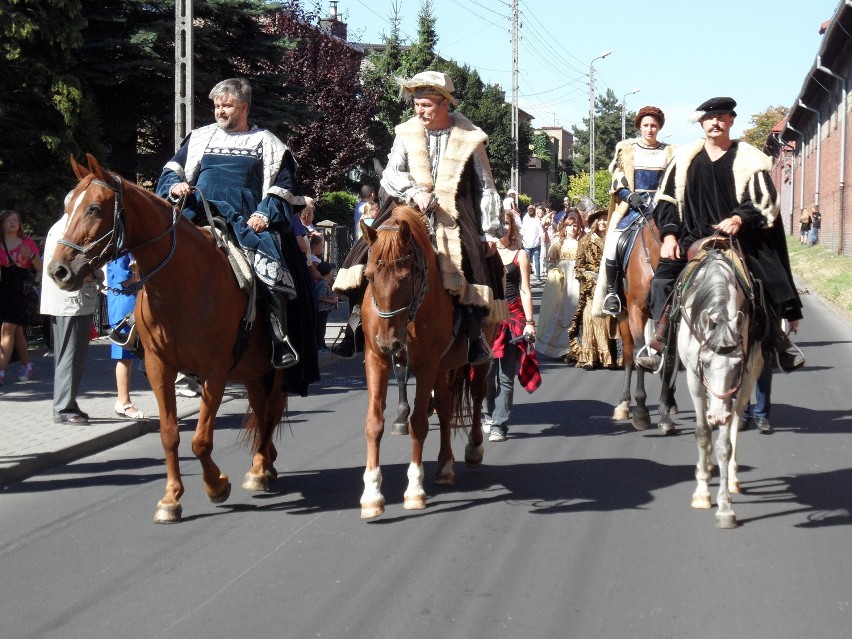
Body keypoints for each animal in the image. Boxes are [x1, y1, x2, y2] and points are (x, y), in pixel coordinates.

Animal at [50, 152, 286, 524]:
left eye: (94, 208)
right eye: (67, 204)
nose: (58, 270)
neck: (181, 283)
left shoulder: (214, 372)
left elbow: (201, 440)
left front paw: (216, 486)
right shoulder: (159, 366)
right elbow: (170, 434)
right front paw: (171, 499)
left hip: (274, 369)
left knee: (272, 409)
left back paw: (261, 469)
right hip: (250, 370)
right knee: (262, 412)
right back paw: (262, 465)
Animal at [360, 206, 492, 520]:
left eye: (405, 278)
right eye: (369, 276)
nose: (388, 342)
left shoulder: (427, 365)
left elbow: (418, 423)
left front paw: (414, 490)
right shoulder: (376, 360)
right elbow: (374, 423)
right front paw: (371, 495)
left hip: (477, 356)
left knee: (478, 393)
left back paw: (474, 448)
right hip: (442, 368)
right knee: (444, 408)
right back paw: (444, 466)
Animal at [616, 216, 676, 436]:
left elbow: (668, 358)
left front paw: (665, 411)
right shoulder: (635, 310)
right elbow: (639, 354)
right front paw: (641, 412)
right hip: (624, 315)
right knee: (628, 353)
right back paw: (624, 403)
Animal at [676, 250, 764, 528]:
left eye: (735, 365)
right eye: (705, 362)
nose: (718, 415)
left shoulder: (740, 378)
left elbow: (725, 444)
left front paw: (725, 508)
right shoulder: (694, 378)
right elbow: (703, 433)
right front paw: (702, 492)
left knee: (735, 422)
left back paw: (732, 477)